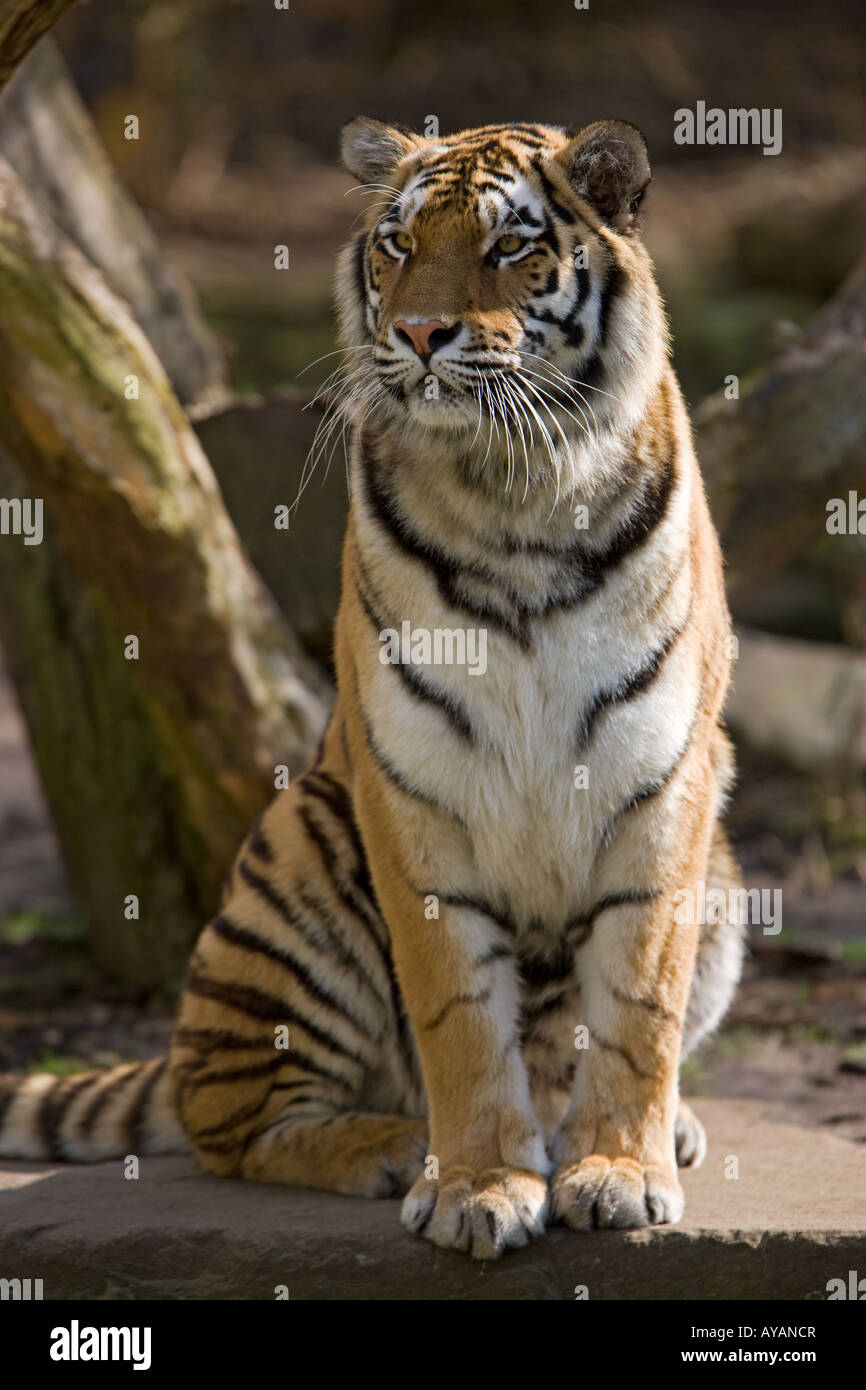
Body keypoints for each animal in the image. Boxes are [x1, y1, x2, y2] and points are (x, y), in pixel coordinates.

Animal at [0, 119, 745, 1262]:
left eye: (508, 245)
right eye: (397, 244)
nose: (422, 332)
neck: (514, 492)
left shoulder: (664, 782)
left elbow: (636, 1008)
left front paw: (619, 1169)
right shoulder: (415, 784)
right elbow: (457, 1017)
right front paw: (478, 1185)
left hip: (729, 876)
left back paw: (656, 1129)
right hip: (300, 854)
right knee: (230, 1124)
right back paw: (396, 1143)